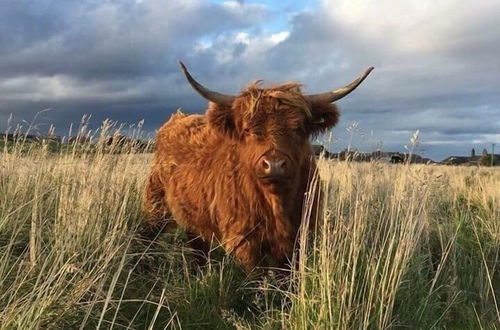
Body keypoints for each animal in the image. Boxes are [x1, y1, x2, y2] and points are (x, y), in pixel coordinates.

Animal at [144, 61, 372, 270]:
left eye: (298, 128)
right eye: (247, 130)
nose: (274, 164)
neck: (277, 203)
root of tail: (176, 119)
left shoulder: (298, 238)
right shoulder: (244, 241)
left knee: (198, 244)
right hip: (156, 205)